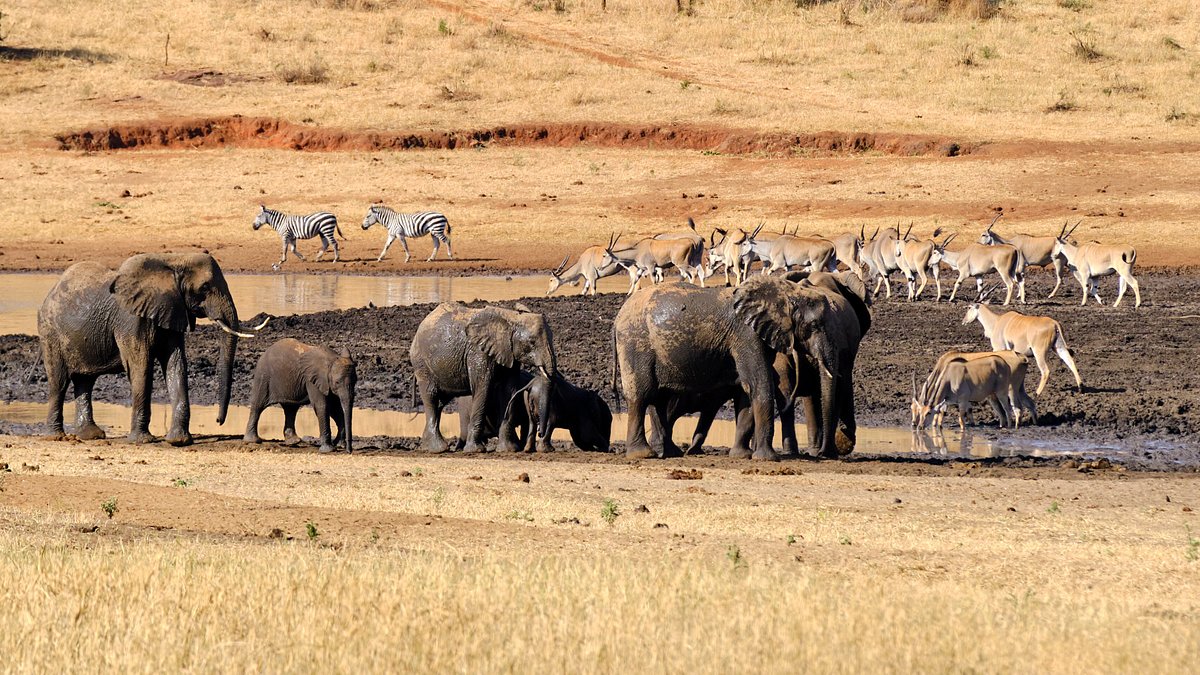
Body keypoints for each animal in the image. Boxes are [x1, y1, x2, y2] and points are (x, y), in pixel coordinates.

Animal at [37, 251, 262, 441]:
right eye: (205, 287)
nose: (218, 420)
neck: (174, 260)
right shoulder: (130, 319)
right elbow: (141, 366)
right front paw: (142, 440)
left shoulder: (173, 309)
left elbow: (176, 365)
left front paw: (179, 440)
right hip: (50, 333)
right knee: (59, 382)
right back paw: (56, 436)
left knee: (85, 381)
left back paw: (91, 436)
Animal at [412, 300, 556, 451]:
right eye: (532, 342)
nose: (540, 433)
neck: (511, 319)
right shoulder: (479, 353)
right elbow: (483, 389)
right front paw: (475, 450)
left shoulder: (509, 354)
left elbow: (509, 391)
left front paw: (508, 449)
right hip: (421, 363)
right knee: (431, 397)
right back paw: (438, 449)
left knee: (440, 403)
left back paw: (426, 447)